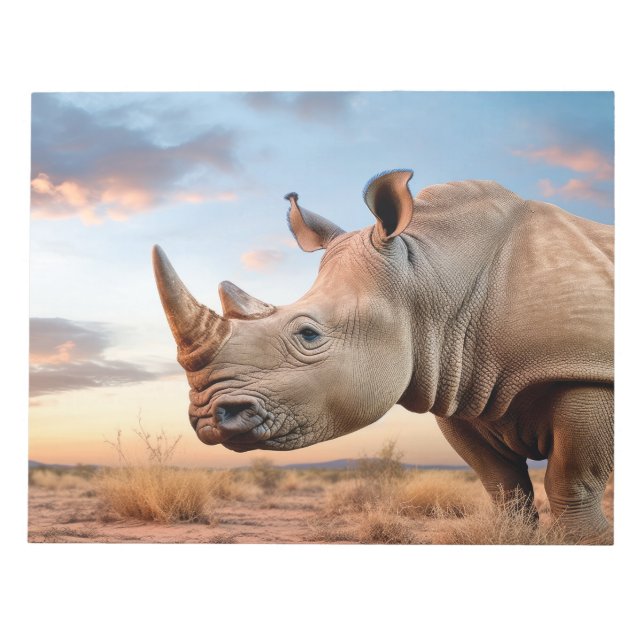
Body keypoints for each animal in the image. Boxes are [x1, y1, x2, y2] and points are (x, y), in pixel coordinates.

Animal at [153, 170, 614, 539]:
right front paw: (511, 536)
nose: (208, 418)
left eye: (308, 334)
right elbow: (501, 483)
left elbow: (571, 481)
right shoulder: (461, 384)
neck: (428, 272)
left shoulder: (587, 372)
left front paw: (585, 542)